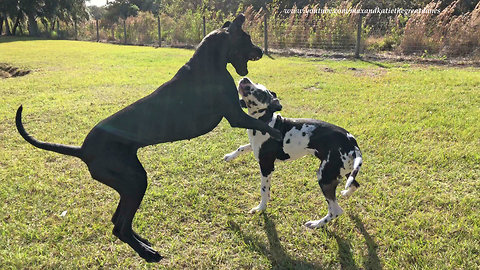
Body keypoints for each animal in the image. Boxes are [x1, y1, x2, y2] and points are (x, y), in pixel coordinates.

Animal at [15, 14, 282, 262]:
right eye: (247, 38)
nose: (260, 51)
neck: (209, 62)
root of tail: (82, 149)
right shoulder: (235, 115)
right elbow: (261, 123)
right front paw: (278, 132)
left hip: (128, 184)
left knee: (117, 220)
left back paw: (142, 240)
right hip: (135, 181)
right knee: (120, 227)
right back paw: (147, 252)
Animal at [225, 77, 364, 228]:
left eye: (260, 92)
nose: (245, 78)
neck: (266, 122)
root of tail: (352, 144)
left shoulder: (266, 166)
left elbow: (263, 190)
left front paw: (261, 208)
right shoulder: (255, 147)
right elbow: (241, 148)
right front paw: (229, 156)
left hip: (325, 178)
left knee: (336, 210)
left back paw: (316, 224)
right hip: (344, 171)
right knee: (355, 185)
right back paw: (345, 193)